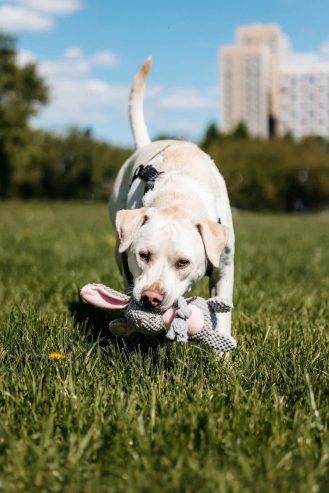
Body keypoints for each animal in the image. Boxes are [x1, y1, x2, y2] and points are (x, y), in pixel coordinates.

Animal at [108, 57, 233, 334]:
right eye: (143, 255)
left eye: (183, 262)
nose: (150, 297)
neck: (179, 199)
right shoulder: (127, 260)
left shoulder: (225, 266)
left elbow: (224, 310)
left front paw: (223, 344)